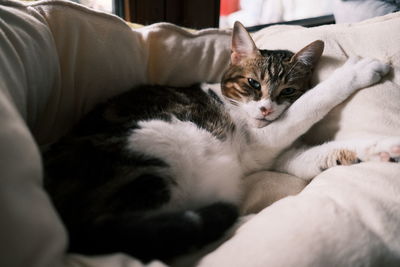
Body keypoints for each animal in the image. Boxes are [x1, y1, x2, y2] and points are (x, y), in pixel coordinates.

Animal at [43, 21, 394, 264]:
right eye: (253, 84)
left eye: (287, 91)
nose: (266, 110)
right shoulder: (262, 141)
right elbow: (312, 104)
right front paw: (356, 70)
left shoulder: (276, 154)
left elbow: (318, 152)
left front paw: (380, 149)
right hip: (163, 142)